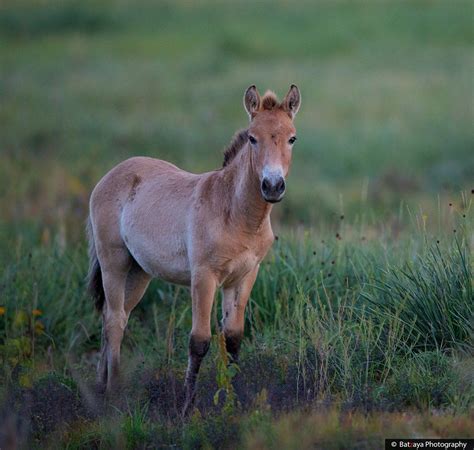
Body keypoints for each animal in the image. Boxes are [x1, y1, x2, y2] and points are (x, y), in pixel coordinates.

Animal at [86, 82, 300, 414]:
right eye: (253, 138)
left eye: (292, 138)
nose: (273, 186)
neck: (236, 215)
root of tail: (112, 174)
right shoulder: (204, 277)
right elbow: (199, 341)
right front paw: (188, 409)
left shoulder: (244, 277)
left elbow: (233, 338)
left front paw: (232, 403)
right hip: (114, 264)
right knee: (113, 321)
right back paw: (114, 394)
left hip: (140, 271)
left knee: (116, 315)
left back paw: (102, 386)